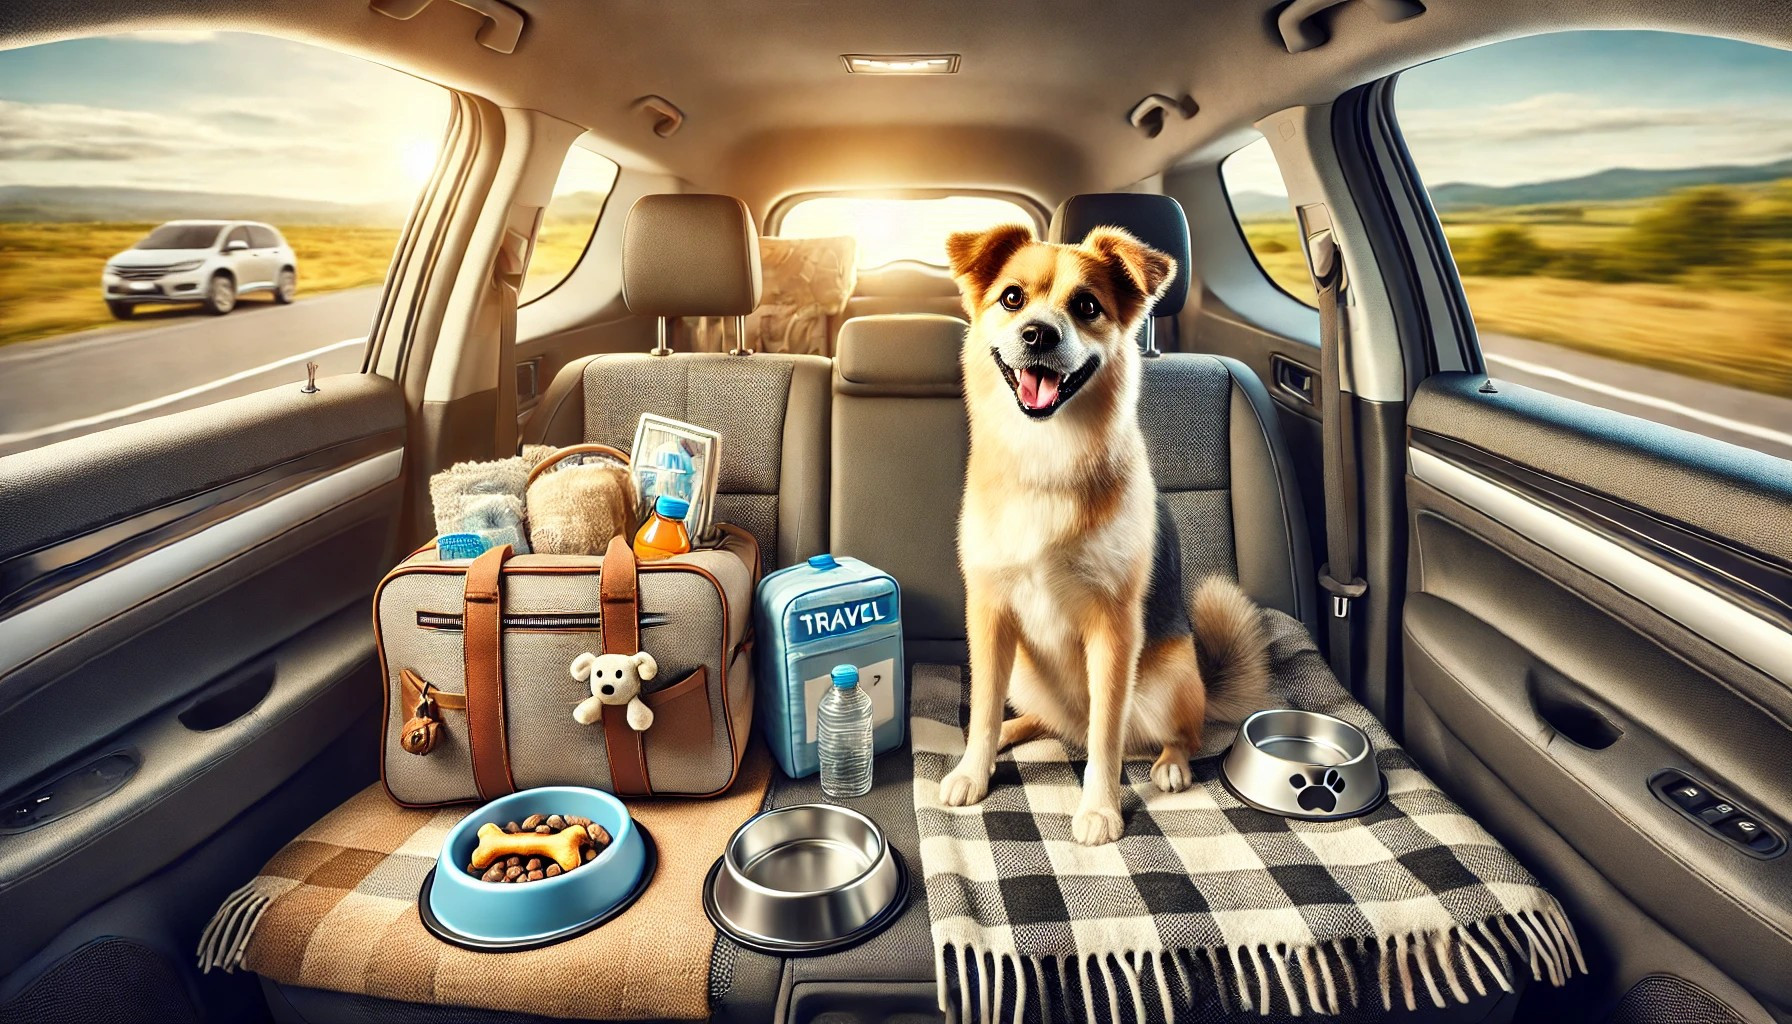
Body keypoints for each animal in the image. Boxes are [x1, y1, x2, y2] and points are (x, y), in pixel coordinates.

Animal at [939, 220, 1275, 846]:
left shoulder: (1114, 626)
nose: (1038, 334)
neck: (1045, 457)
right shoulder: (990, 614)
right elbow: (984, 707)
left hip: (1168, 681)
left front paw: (1099, 809)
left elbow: (1106, 736)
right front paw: (974, 767)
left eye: (1087, 306)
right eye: (1012, 298)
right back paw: (1011, 733)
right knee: (1039, 718)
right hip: (1025, 673)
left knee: (1173, 733)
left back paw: (1170, 764)